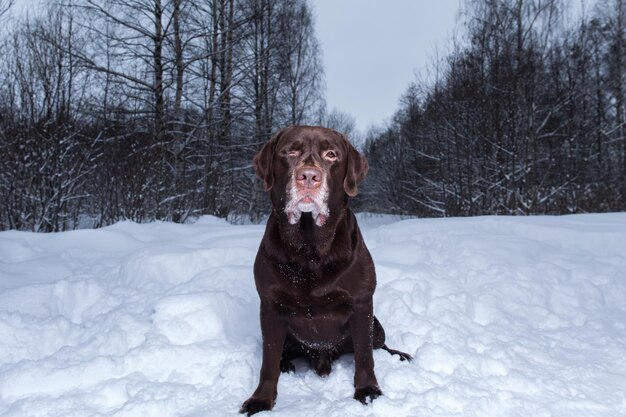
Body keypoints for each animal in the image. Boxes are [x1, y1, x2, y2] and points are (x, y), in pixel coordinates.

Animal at [239, 125, 410, 414]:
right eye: (290, 152)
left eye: (331, 154)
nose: (309, 176)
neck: (309, 249)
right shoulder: (270, 307)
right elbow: (268, 360)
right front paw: (261, 399)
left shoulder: (362, 304)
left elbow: (365, 355)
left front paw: (368, 390)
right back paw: (287, 364)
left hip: (377, 325)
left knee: (379, 345)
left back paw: (400, 355)